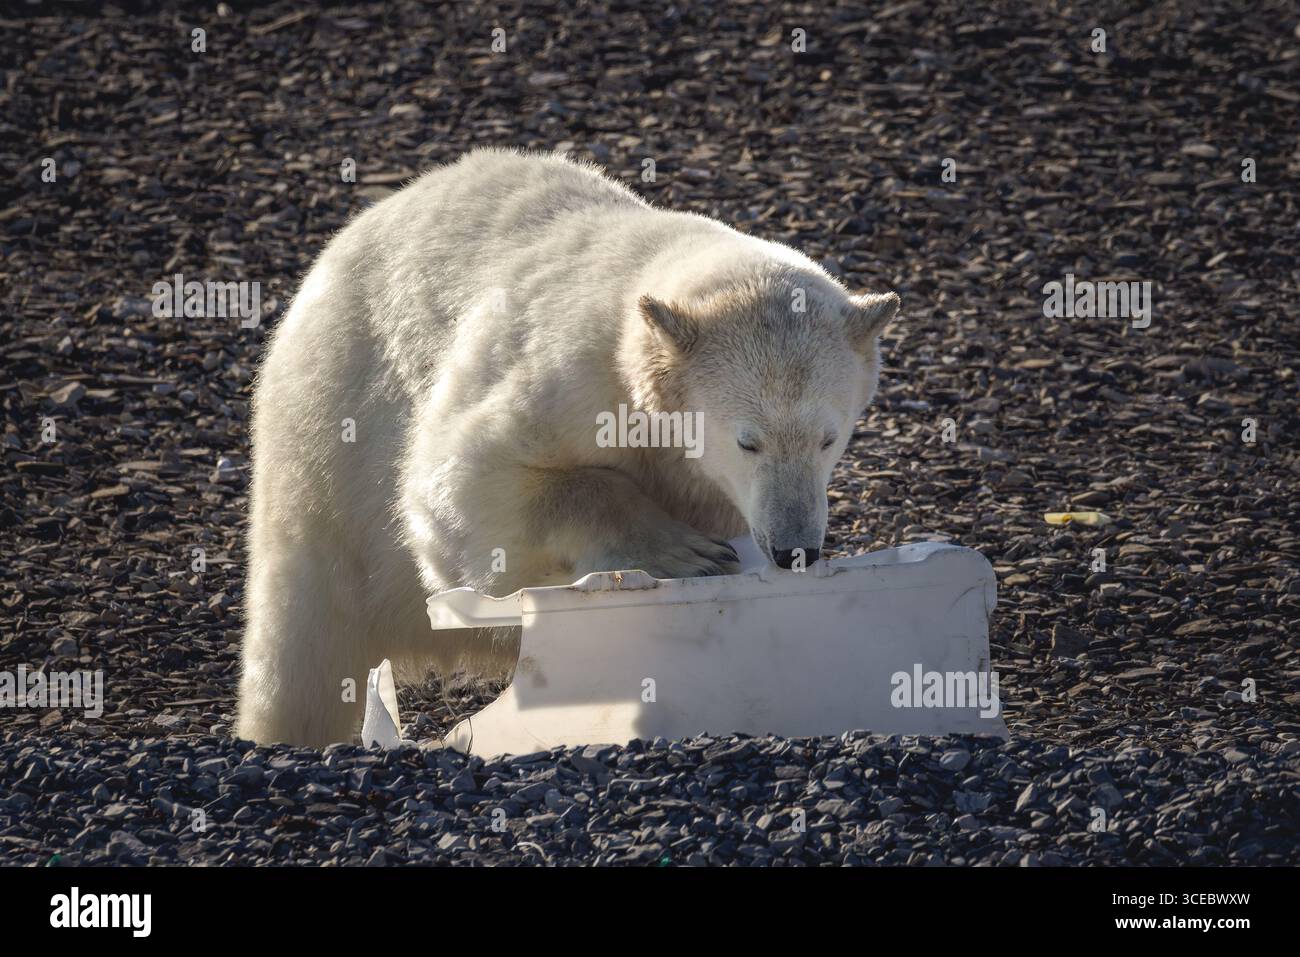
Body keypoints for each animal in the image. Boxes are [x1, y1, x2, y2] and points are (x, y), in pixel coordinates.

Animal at [236, 148, 900, 746]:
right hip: (332, 431)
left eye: (829, 438)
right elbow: (464, 488)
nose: (795, 550)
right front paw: (682, 551)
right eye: (748, 442)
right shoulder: (566, 373)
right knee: (304, 634)